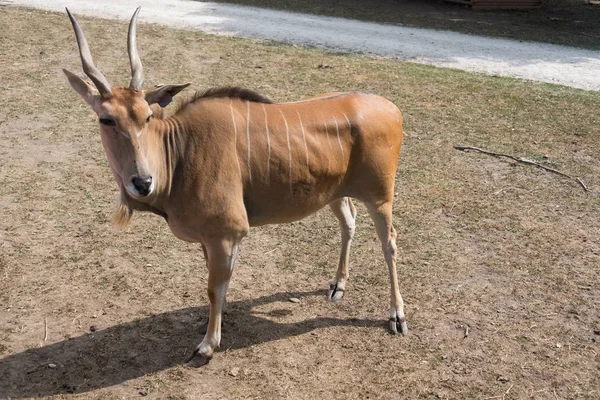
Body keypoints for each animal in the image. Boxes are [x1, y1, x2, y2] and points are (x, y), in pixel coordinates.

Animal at [63, 7, 408, 364]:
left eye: (147, 116)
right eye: (106, 119)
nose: (142, 182)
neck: (180, 150)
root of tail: (392, 108)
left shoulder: (226, 233)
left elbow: (214, 287)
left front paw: (207, 344)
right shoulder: (212, 238)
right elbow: (220, 284)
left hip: (381, 197)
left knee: (390, 243)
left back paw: (396, 315)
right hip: (335, 194)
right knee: (349, 223)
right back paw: (338, 285)